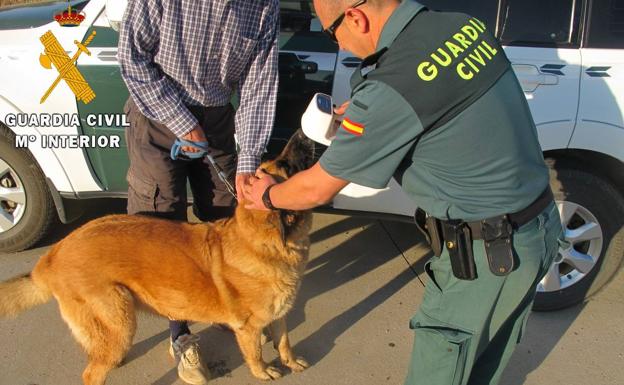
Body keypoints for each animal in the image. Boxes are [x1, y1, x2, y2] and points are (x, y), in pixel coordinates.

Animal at [0, 130, 314, 384]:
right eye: (287, 166)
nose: (301, 133)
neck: (264, 245)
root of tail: (52, 256)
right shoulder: (249, 329)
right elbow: (256, 353)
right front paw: (263, 371)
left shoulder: (279, 316)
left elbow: (284, 342)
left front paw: (289, 361)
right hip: (121, 321)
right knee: (91, 373)